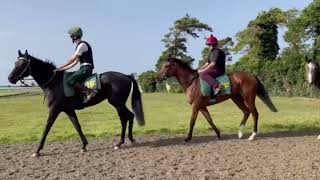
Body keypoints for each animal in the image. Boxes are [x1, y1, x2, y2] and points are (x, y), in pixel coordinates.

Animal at [7, 50, 145, 157]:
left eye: (22, 63)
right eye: (15, 63)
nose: (10, 78)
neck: (54, 83)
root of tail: (127, 76)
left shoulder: (54, 109)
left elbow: (47, 128)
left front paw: (37, 150)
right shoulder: (69, 110)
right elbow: (77, 126)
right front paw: (84, 146)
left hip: (117, 103)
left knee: (125, 118)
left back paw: (120, 143)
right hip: (118, 104)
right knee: (129, 116)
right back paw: (129, 140)